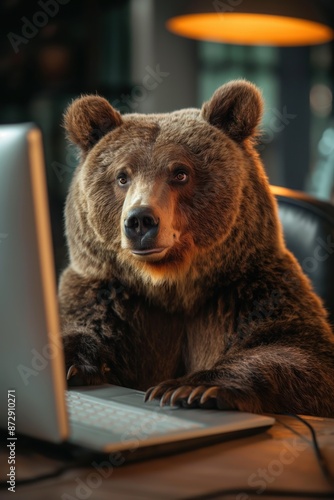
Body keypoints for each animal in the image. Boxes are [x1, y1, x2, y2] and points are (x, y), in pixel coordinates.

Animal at [58, 80, 334, 416]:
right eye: (122, 176)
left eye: (180, 173)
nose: (140, 220)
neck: (173, 284)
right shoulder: (107, 293)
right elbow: (83, 325)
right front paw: (68, 362)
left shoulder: (249, 292)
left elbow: (299, 352)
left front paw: (190, 387)